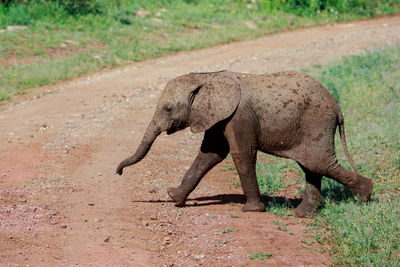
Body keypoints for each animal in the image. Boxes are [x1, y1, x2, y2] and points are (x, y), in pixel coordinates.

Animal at [115, 70, 372, 218]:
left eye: (168, 109)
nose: (118, 173)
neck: (205, 77)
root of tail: (337, 107)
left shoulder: (238, 116)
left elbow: (241, 155)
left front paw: (252, 210)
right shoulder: (219, 117)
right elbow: (210, 154)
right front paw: (174, 198)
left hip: (316, 123)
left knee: (319, 164)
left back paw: (365, 196)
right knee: (313, 166)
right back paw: (303, 214)